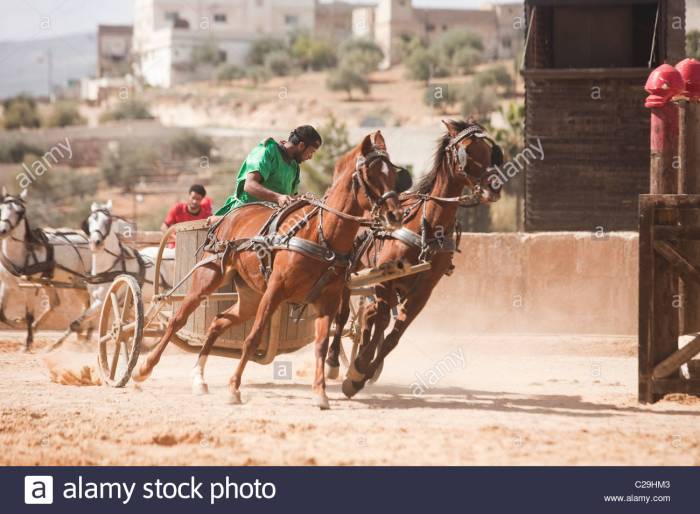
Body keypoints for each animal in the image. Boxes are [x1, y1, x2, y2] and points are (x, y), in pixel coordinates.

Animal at [0, 186, 93, 350]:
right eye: (1, 208)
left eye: (20, 212)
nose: (2, 230)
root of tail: (86, 239)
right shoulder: (6, 284)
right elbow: (1, 314)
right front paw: (18, 322)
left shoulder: (29, 288)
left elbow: (29, 315)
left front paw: (27, 342)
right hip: (50, 282)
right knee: (56, 303)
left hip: (79, 282)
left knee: (91, 303)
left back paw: (83, 334)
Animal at [52, 201, 175, 348]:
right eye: (89, 221)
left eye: (107, 221)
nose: (96, 242)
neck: (106, 269)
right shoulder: (96, 300)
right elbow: (78, 322)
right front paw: (55, 344)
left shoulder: (101, 302)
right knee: (151, 314)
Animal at [133, 131, 402, 408]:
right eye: (371, 174)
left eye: (393, 173)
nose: (395, 215)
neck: (321, 235)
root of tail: (228, 217)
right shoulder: (275, 290)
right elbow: (252, 338)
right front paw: (234, 388)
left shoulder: (328, 299)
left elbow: (321, 343)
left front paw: (320, 392)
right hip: (209, 277)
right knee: (178, 319)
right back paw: (143, 369)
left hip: (250, 296)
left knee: (218, 322)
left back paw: (198, 377)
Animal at [326, 120, 504, 396]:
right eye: (466, 151)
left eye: (491, 150)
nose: (494, 186)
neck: (426, 228)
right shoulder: (385, 280)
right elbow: (380, 325)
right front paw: (358, 370)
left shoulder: (423, 292)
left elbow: (392, 337)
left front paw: (360, 373)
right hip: (349, 272)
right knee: (344, 313)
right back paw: (334, 360)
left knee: (367, 317)